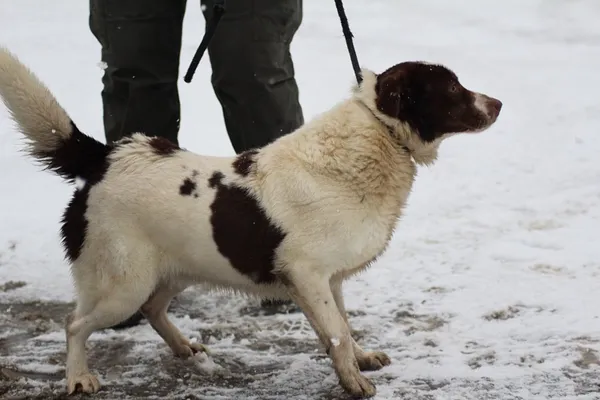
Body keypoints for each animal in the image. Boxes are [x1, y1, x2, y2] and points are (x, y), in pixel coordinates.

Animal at [0, 47, 502, 396]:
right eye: (451, 89)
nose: (497, 103)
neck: (380, 136)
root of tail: (107, 157)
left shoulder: (329, 280)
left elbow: (341, 326)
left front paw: (359, 361)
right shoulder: (307, 273)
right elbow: (337, 332)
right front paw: (354, 383)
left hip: (174, 269)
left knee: (154, 309)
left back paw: (184, 349)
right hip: (122, 283)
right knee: (75, 324)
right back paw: (79, 377)